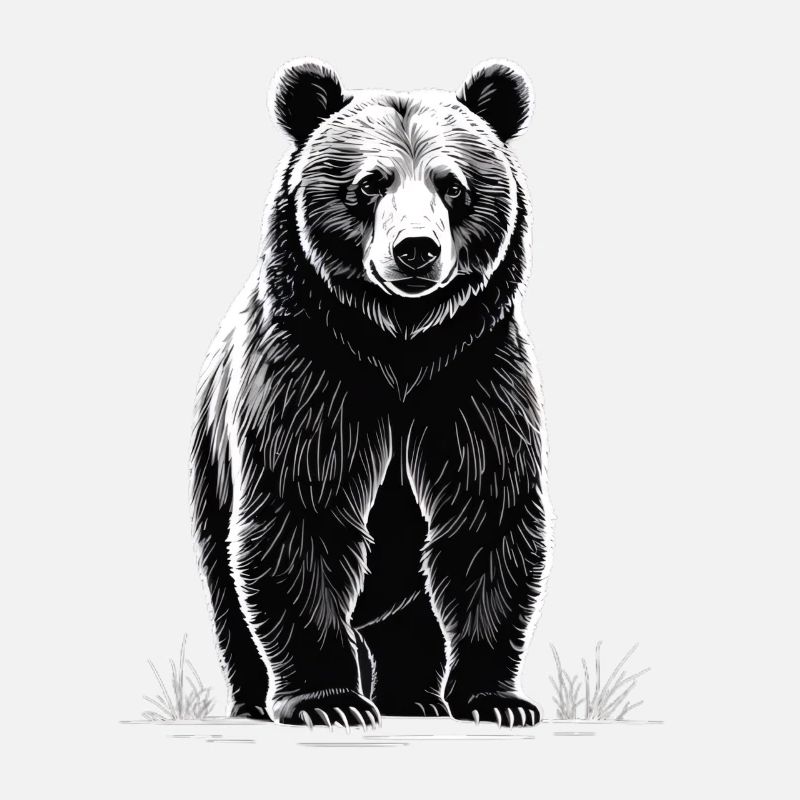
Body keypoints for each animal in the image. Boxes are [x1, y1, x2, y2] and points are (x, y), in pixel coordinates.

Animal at [190, 58, 553, 729]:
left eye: (453, 186)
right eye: (369, 184)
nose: (416, 248)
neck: (399, 349)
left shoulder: (473, 378)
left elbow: (487, 518)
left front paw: (498, 699)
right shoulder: (311, 372)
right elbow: (299, 513)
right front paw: (328, 702)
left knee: (413, 610)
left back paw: (415, 696)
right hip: (211, 468)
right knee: (226, 590)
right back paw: (255, 701)